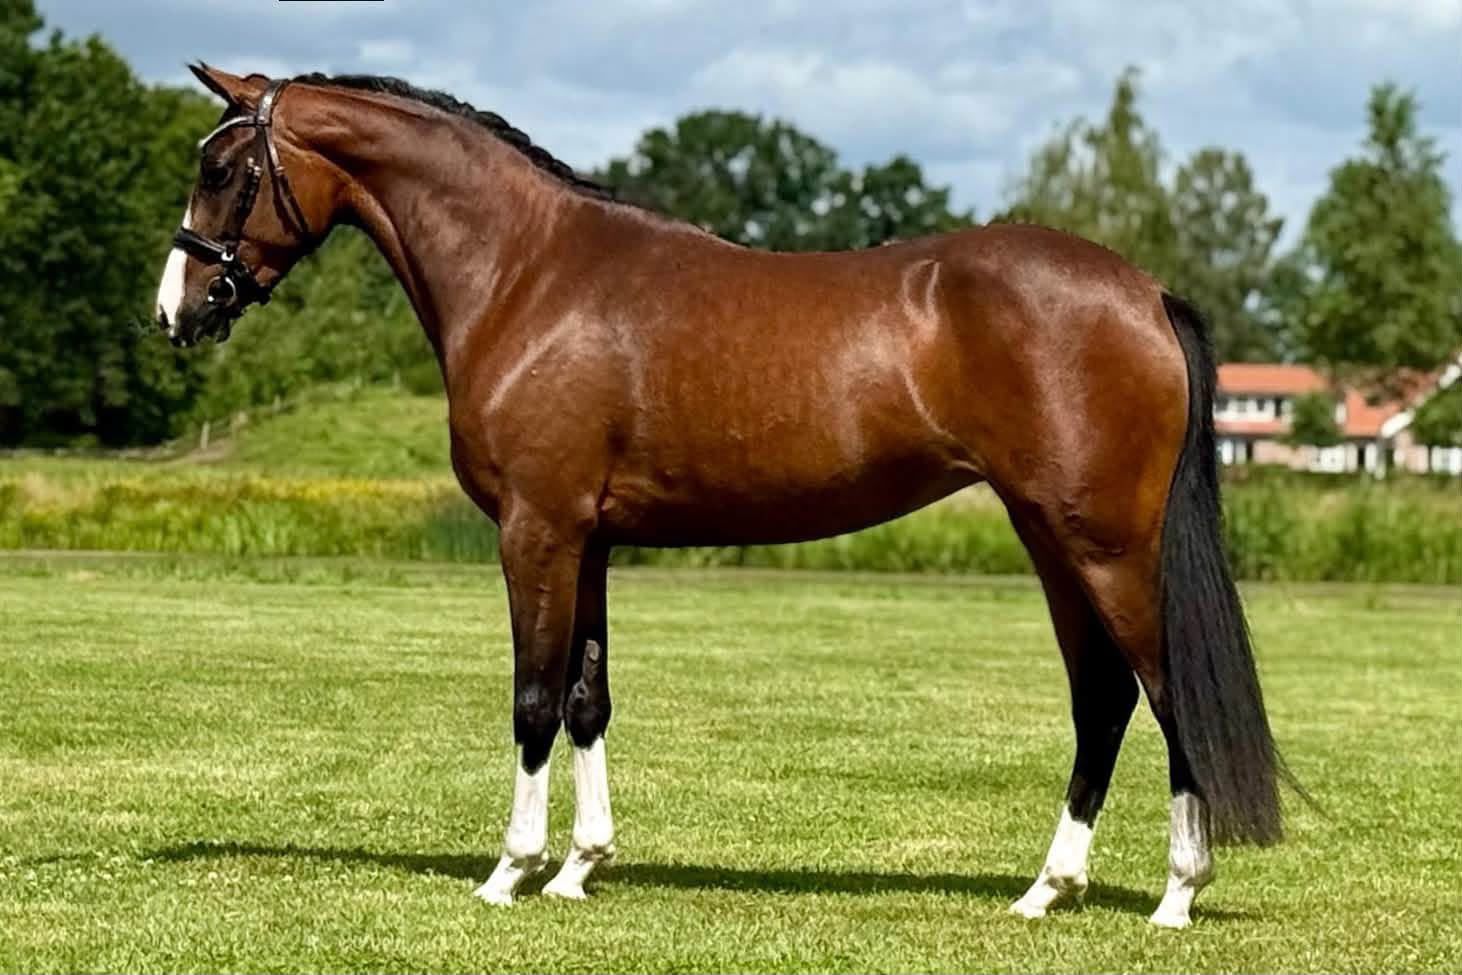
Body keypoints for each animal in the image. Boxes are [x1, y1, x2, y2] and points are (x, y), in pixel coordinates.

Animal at [155, 65, 1291, 928]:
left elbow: (532, 698)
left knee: (1162, 692)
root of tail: (1144, 291)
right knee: (1101, 698)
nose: (176, 311)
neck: (529, 275)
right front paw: (579, 868)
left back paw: (1175, 896)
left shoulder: (536, 531)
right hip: (1052, 539)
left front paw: (509, 872)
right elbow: (587, 698)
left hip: (1106, 546)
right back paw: (1046, 890)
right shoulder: (590, 539)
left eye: (222, 169)